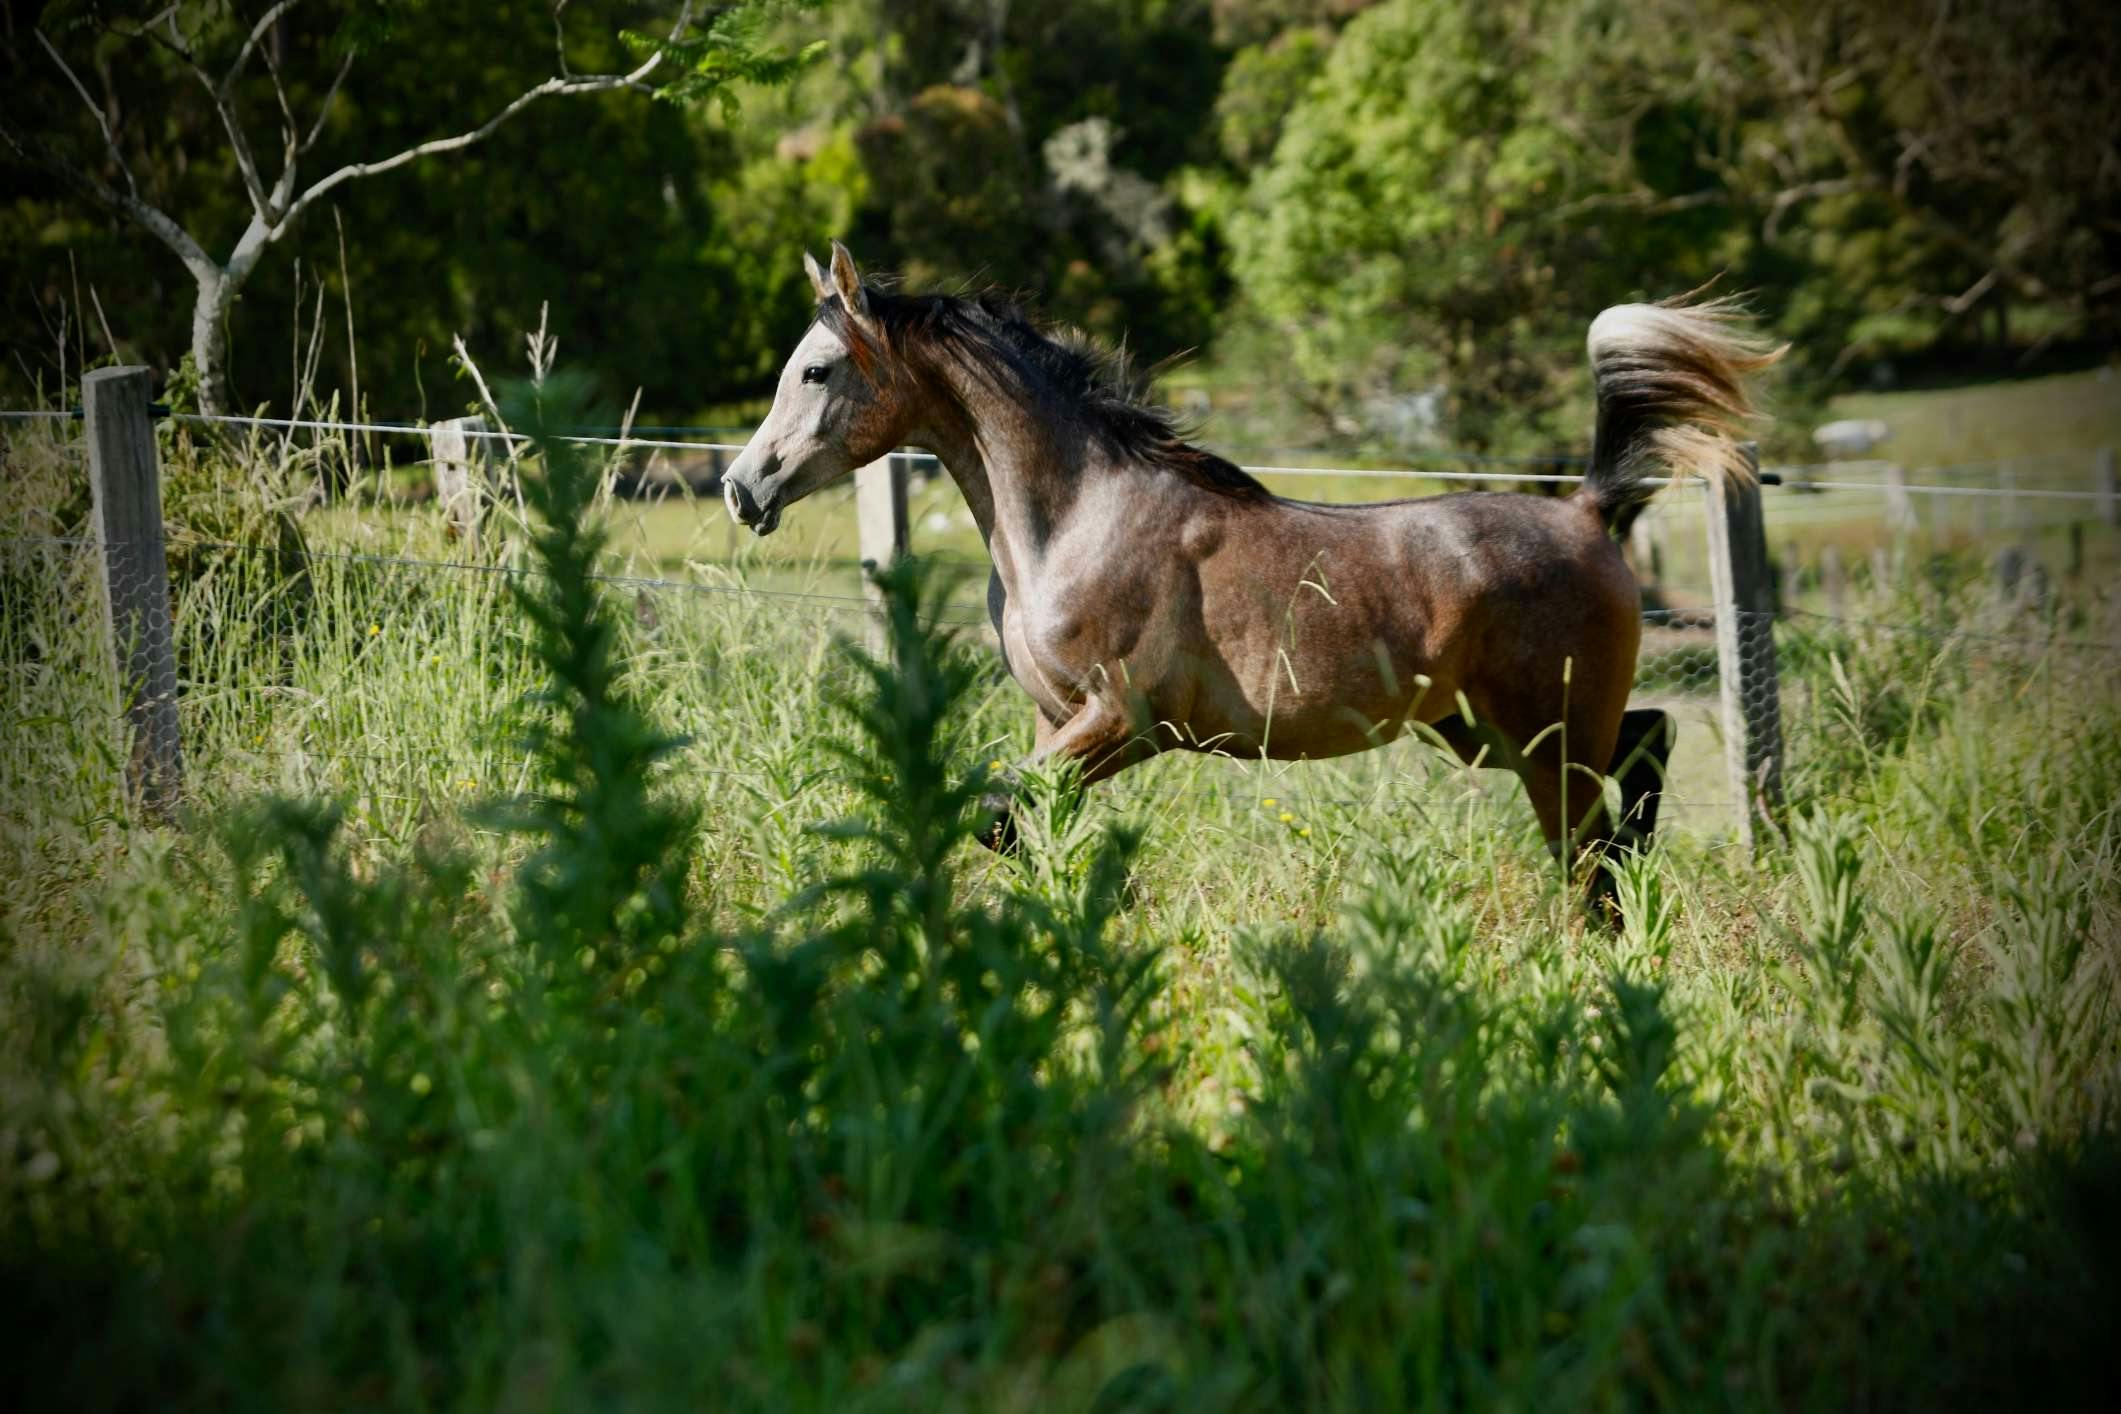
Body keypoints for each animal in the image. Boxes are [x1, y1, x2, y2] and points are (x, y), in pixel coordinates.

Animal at [721, 243, 1781, 911]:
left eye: (815, 371)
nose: (741, 487)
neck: (1079, 516)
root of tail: (1587, 510)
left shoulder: (1122, 723)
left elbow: (997, 811)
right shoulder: (1057, 721)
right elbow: (1021, 823)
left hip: (1544, 733)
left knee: (1597, 824)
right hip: (1485, 731)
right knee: (1640, 756)